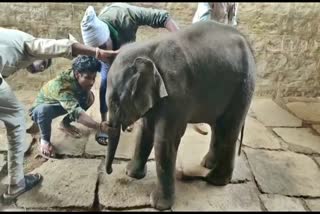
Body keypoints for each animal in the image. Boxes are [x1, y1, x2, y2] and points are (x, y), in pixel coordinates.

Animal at [104, 20, 256, 211]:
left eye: (116, 102)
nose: (110, 171)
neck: (147, 49)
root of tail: (248, 44)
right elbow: (145, 130)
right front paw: (131, 174)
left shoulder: (176, 95)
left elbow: (164, 141)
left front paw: (158, 204)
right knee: (219, 127)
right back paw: (206, 164)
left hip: (243, 86)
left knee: (228, 129)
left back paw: (215, 181)